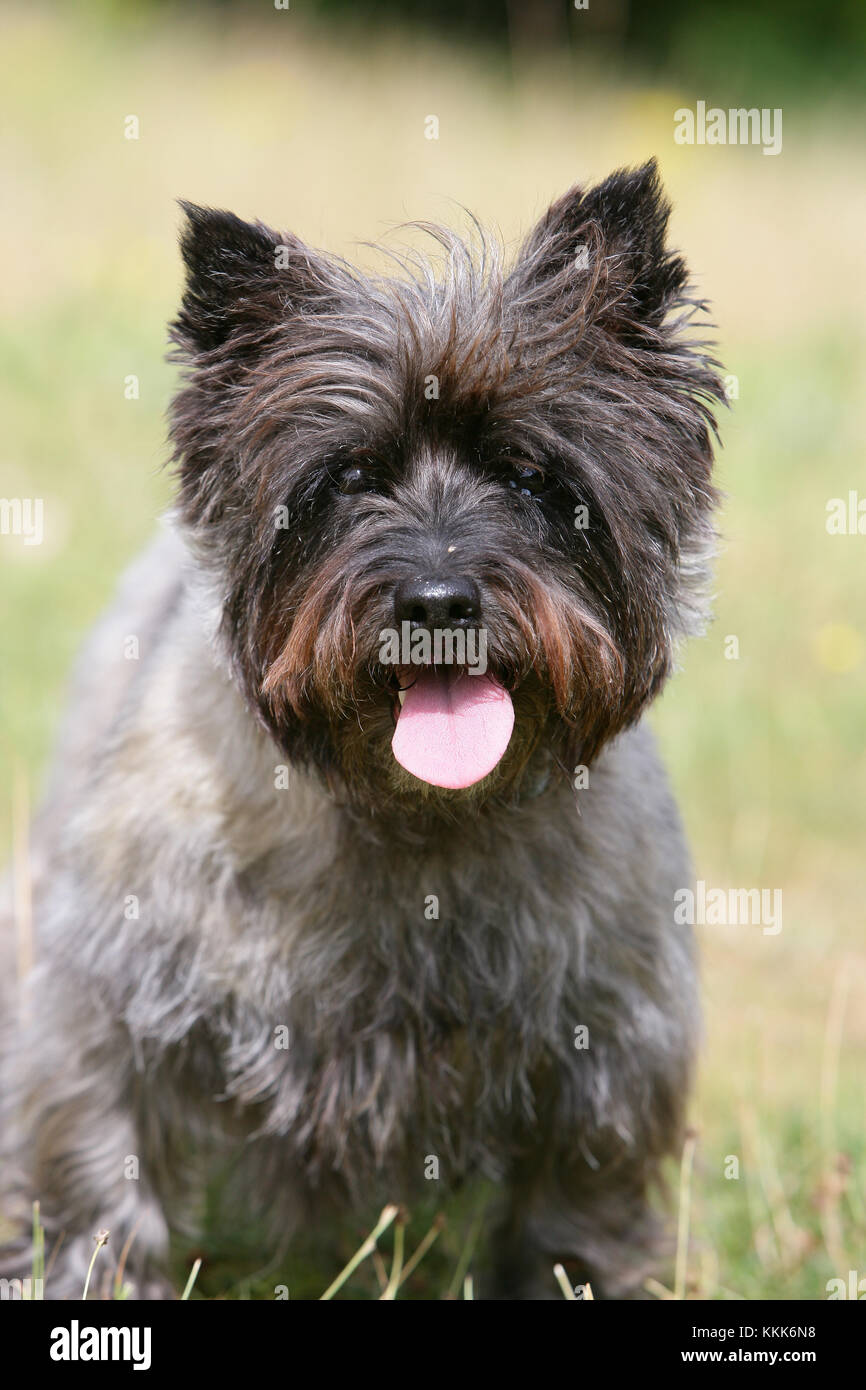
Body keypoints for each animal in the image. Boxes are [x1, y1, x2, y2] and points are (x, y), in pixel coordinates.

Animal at [0, 162, 722, 1301]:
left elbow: (577, 1217)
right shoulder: (105, 1016)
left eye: (532, 476)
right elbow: (96, 1181)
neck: (415, 823)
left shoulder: (607, 1060)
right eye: (345, 479)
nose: (436, 601)